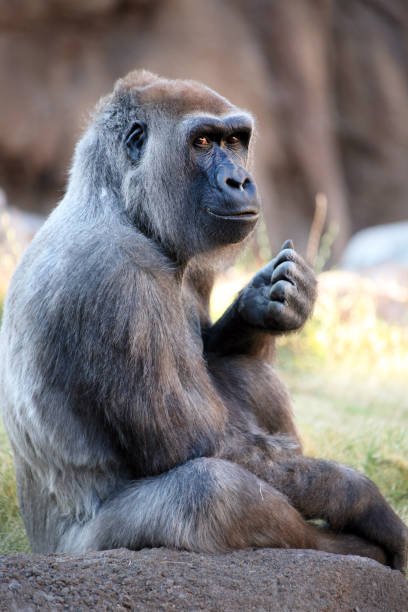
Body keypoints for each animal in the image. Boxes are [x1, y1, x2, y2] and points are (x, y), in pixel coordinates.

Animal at [0, 70, 408, 568]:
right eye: (201, 142)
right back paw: (347, 546)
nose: (241, 180)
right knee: (212, 491)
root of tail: (40, 547)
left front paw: (266, 301)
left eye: (234, 140)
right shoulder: (118, 278)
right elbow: (198, 447)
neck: (117, 202)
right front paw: (362, 497)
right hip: (83, 549)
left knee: (246, 374)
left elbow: (215, 352)